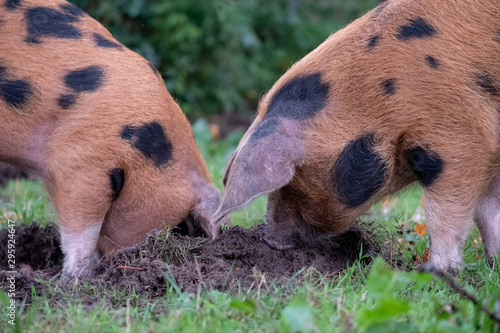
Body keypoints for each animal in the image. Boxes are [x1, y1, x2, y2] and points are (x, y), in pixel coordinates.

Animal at [213, 0, 500, 272]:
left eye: (293, 179)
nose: (269, 241)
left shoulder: (459, 139)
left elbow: (446, 214)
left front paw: (435, 273)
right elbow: (488, 211)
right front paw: (493, 265)